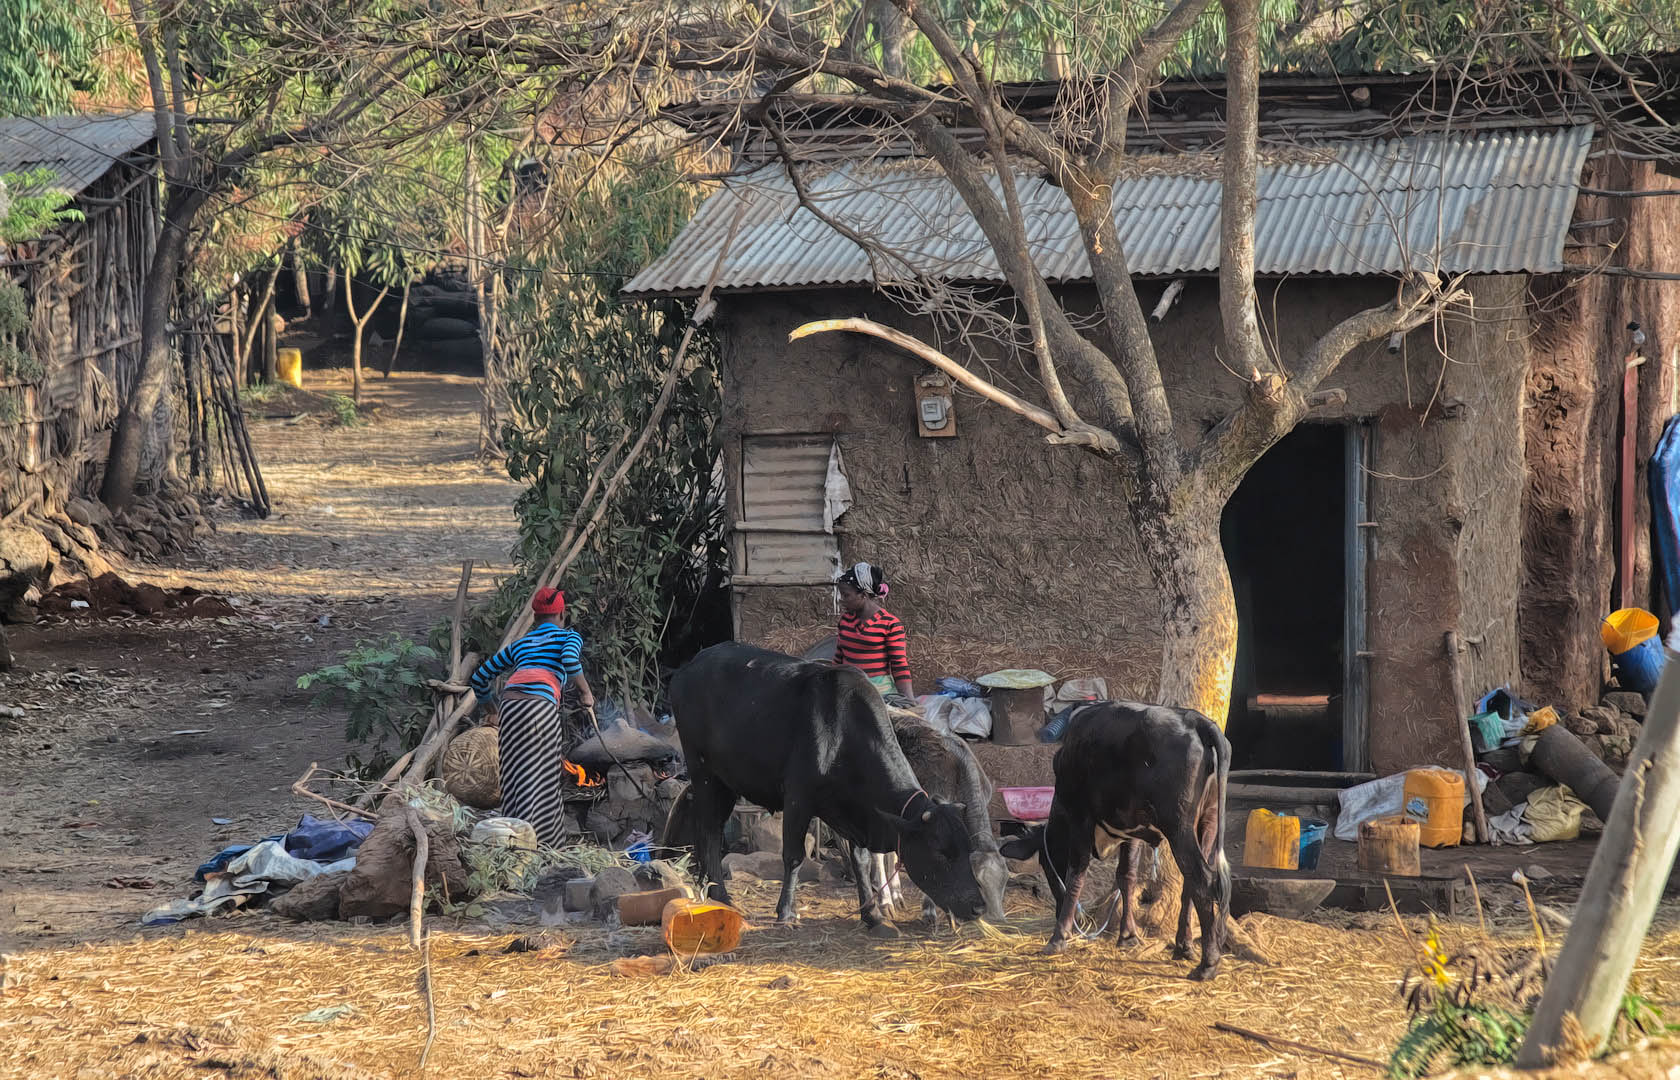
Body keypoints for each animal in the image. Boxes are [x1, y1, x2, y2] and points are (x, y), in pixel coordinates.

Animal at [665, 641, 987, 940]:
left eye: (967, 849)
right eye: (940, 852)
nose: (978, 906)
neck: (844, 733)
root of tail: (691, 665)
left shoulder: (854, 813)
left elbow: (861, 860)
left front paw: (873, 915)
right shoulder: (798, 798)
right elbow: (794, 856)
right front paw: (786, 913)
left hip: (727, 781)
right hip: (704, 773)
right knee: (708, 831)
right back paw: (722, 897)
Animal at [994, 702, 1236, 980]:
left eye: (1045, 865)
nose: (1055, 910)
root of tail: (1193, 719)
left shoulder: (1081, 817)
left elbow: (1077, 873)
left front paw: (1058, 938)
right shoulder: (1130, 831)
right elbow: (1126, 877)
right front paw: (1128, 936)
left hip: (1179, 826)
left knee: (1203, 880)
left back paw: (1207, 964)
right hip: (1207, 822)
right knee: (1191, 884)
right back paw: (1184, 947)